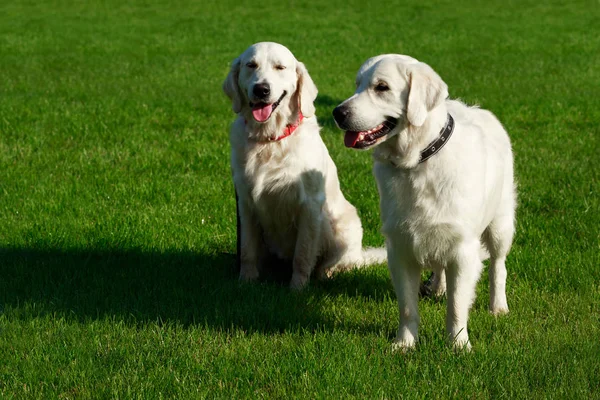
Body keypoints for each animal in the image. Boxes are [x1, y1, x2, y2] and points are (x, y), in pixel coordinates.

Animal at [223, 42, 386, 290]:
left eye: (280, 67)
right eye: (251, 65)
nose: (261, 89)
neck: (270, 140)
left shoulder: (309, 204)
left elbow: (303, 253)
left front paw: (297, 288)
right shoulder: (245, 201)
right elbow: (247, 249)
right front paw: (246, 280)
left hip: (343, 226)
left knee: (333, 264)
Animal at [332, 54, 516, 350]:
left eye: (381, 87)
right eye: (357, 84)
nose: (338, 113)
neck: (418, 161)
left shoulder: (463, 249)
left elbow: (457, 305)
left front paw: (458, 345)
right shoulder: (400, 247)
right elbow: (407, 307)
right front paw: (405, 344)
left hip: (500, 225)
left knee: (499, 266)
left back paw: (498, 306)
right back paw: (437, 287)